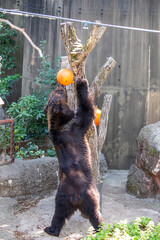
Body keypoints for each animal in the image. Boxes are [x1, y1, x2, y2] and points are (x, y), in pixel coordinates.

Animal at [44, 78, 103, 236]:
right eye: (58, 92)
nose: (60, 86)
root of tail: (75, 198)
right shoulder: (74, 130)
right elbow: (86, 112)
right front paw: (81, 83)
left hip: (62, 197)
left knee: (58, 214)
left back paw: (51, 229)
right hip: (89, 194)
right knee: (95, 213)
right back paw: (100, 228)